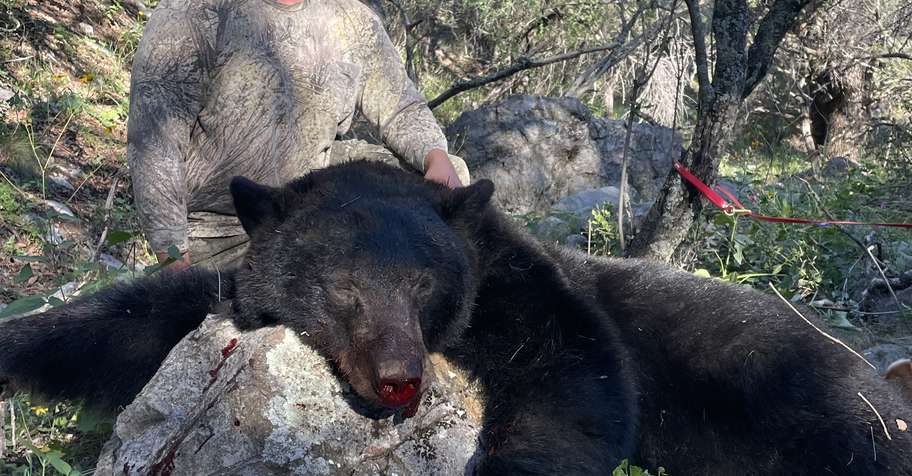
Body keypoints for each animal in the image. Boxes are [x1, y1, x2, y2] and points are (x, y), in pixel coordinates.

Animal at [0, 159, 910, 475]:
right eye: (342, 287)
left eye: (423, 285)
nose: (400, 379)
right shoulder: (224, 297)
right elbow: (132, 318)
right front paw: (18, 343)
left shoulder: (521, 288)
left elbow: (577, 386)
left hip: (816, 404)